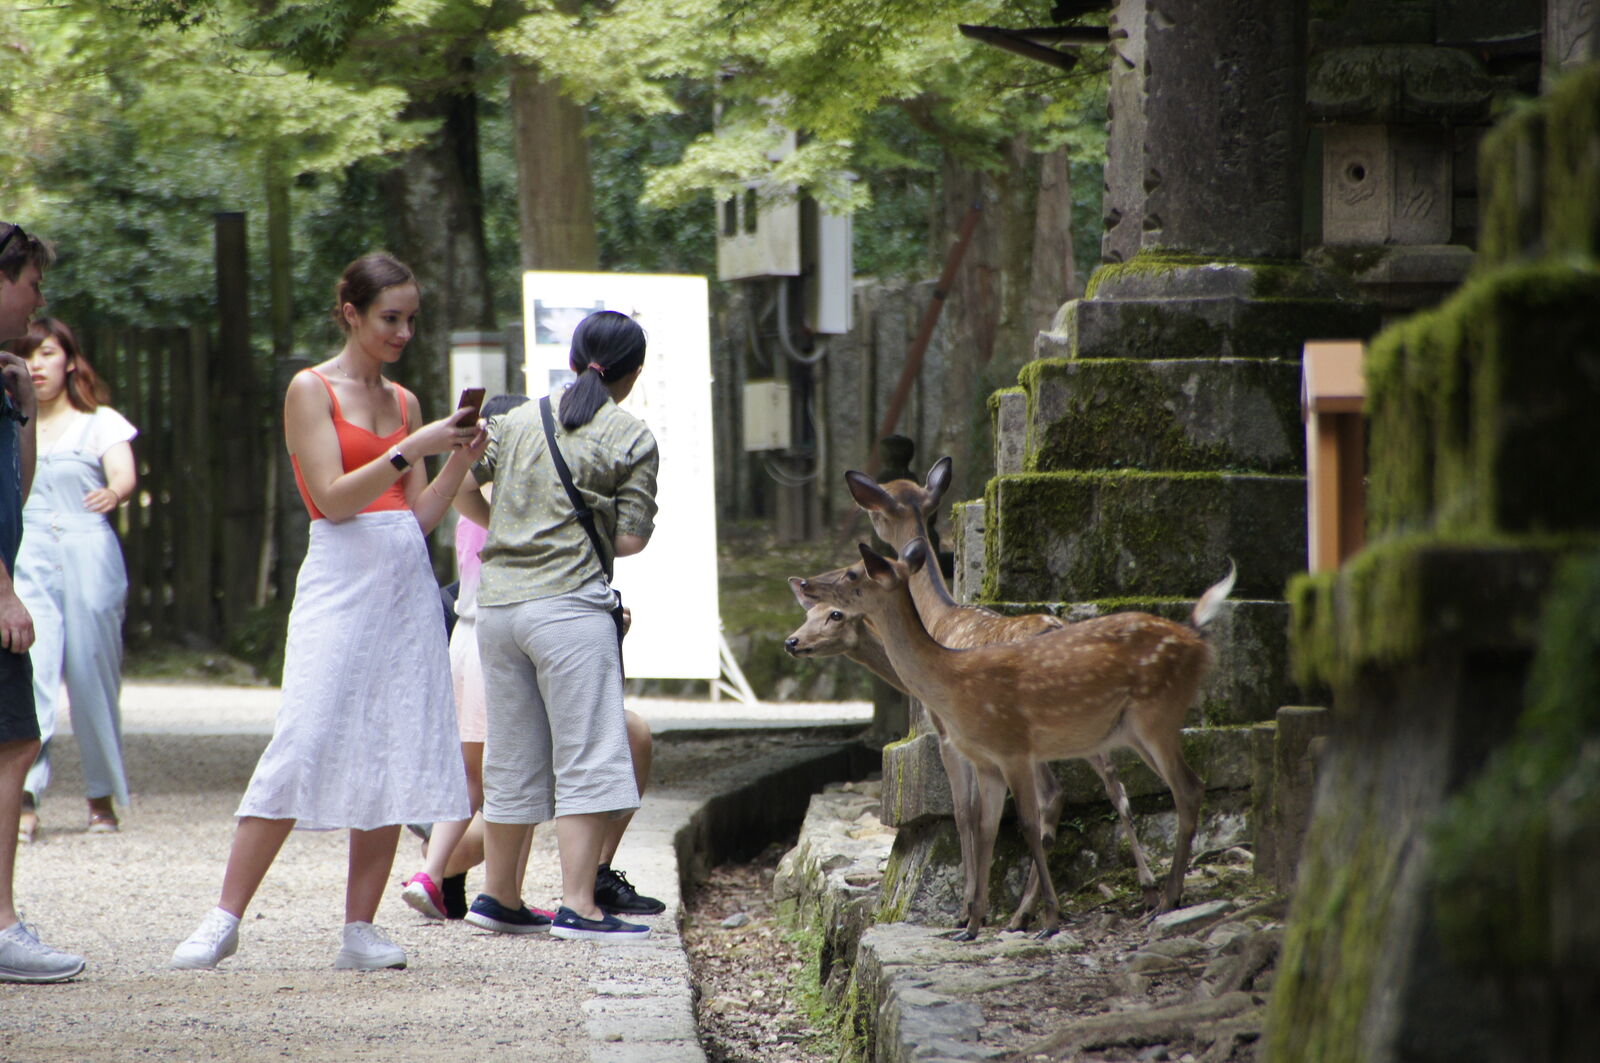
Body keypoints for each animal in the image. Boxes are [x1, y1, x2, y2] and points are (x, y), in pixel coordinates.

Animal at [794, 538, 1234, 940]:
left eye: (853, 575)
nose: (803, 585)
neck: (950, 680)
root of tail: (1196, 638)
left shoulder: (1012, 747)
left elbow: (1022, 822)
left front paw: (1046, 920)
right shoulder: (987, 760)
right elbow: (986, 826)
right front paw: (972, 925)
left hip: (1156, 714)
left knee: (1185, 787)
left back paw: (1166, 898)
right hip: (1129, 730)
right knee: (1172, 787)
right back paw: (1159, 894)